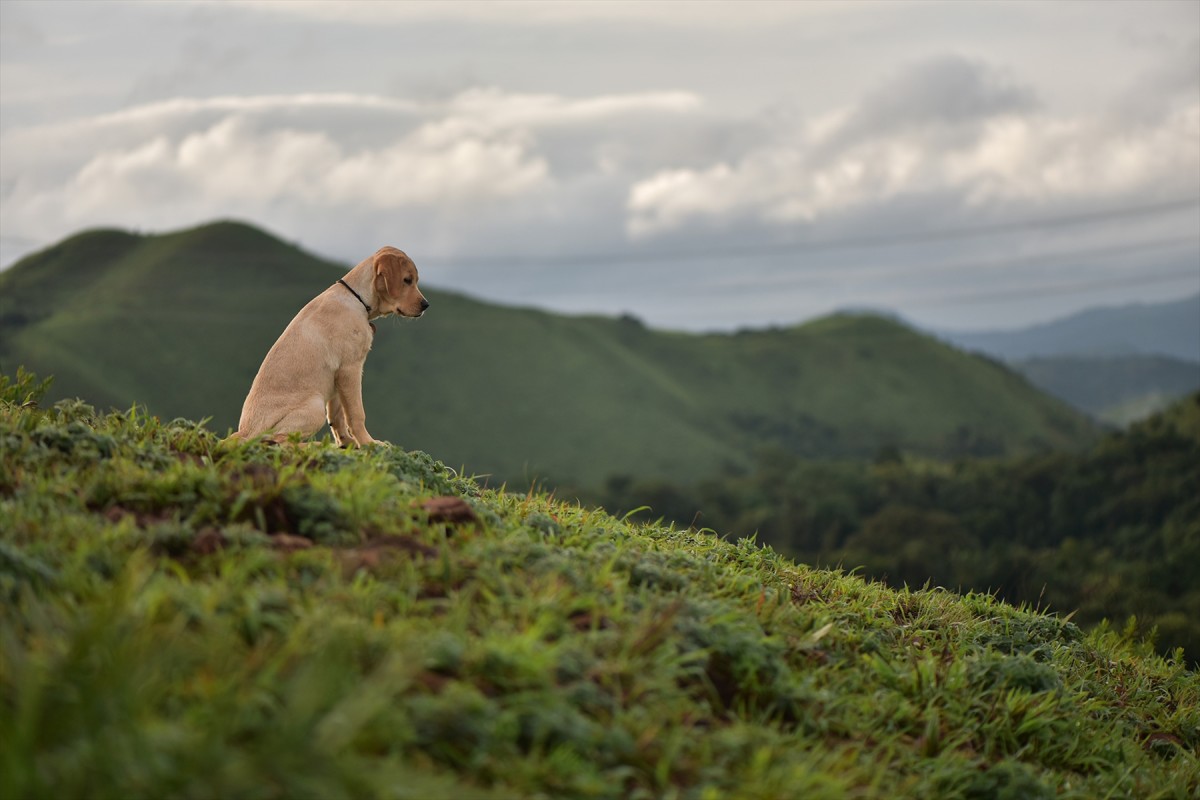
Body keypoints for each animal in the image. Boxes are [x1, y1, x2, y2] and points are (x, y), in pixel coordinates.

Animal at [231, 245, 429, 443]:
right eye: (407, 280)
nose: (426, 305)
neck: (357, 300)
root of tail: (245, 432)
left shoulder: (337, 377)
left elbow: (337, 415)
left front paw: (347, 443)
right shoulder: (350, 369)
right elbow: (356, 414)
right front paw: (368, 442)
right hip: (314, 406)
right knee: (278, 440)